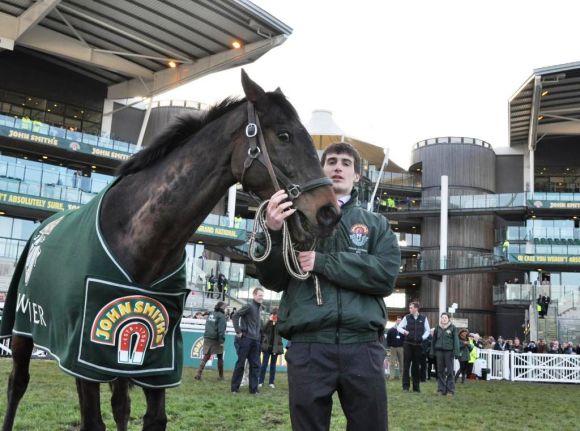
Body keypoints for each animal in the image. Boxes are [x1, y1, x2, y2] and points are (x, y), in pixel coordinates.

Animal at [0, 72, 340, 430]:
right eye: (285, 135)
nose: (329, 212)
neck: (138, 239)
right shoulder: (83, 356)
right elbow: (93, 420)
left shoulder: (154, 355)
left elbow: (153, 417)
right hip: (24, 329)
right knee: (17, 384)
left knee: (120, 404)